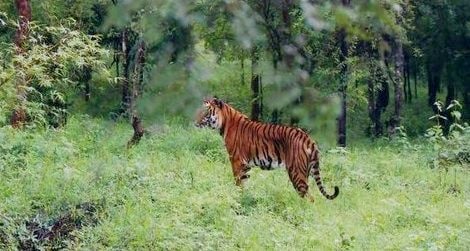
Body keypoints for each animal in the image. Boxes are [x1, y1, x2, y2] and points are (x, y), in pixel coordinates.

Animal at [195, 96, 338, 202]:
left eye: (206, 112)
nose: (195, 122)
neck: (224, 123)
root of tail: (307, 138)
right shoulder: (245, 165)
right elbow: (244, 183)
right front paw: (244, 198)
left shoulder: (236, 160)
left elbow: (238, 183)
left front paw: (236, 198)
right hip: (307, 170)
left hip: (297, 172)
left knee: (309, 197)